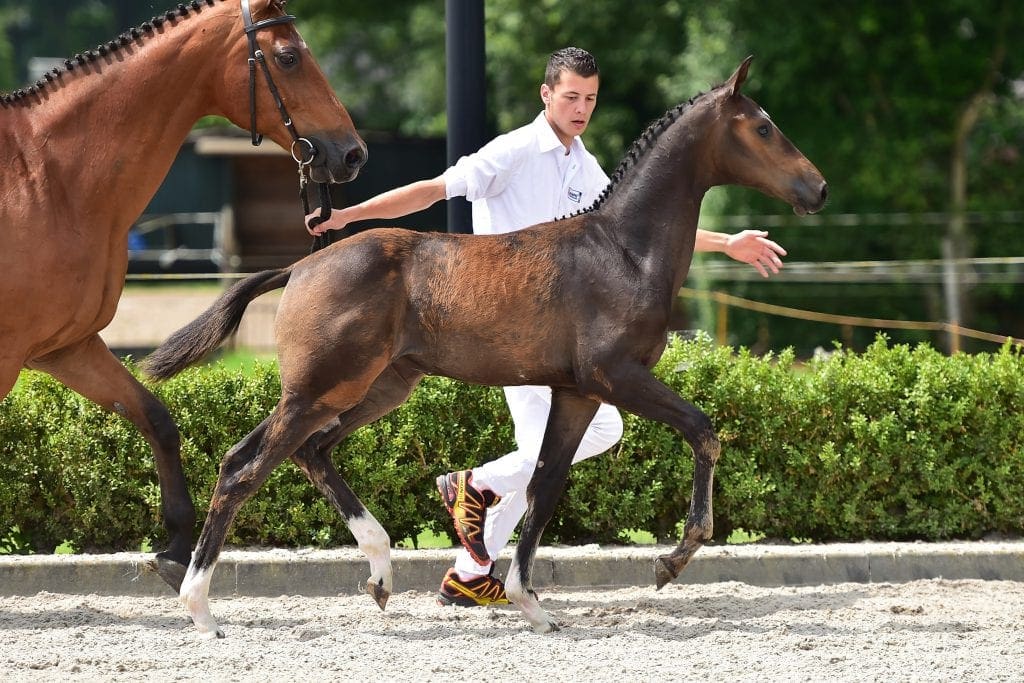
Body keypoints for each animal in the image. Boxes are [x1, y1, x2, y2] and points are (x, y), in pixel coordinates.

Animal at [0, 0, 365, 593]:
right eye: (289, 57)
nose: (352, 154)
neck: (43, 178)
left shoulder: (65, 347)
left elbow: (156, 418)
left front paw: (174, 547)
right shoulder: (9, 356)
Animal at [142, 56, 827, 636]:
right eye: (764, 127)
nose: (817, 188)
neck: (624, 251)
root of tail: (302, 267)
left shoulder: (576, 392)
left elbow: (546, 483)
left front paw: (530, 602)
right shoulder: (617, 376)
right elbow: (703, 430)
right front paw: (672, 560)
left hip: (374, 388)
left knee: (304, 453)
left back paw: (381, 573)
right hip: (320, 388)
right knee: (246, 467)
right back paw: (200, 607)